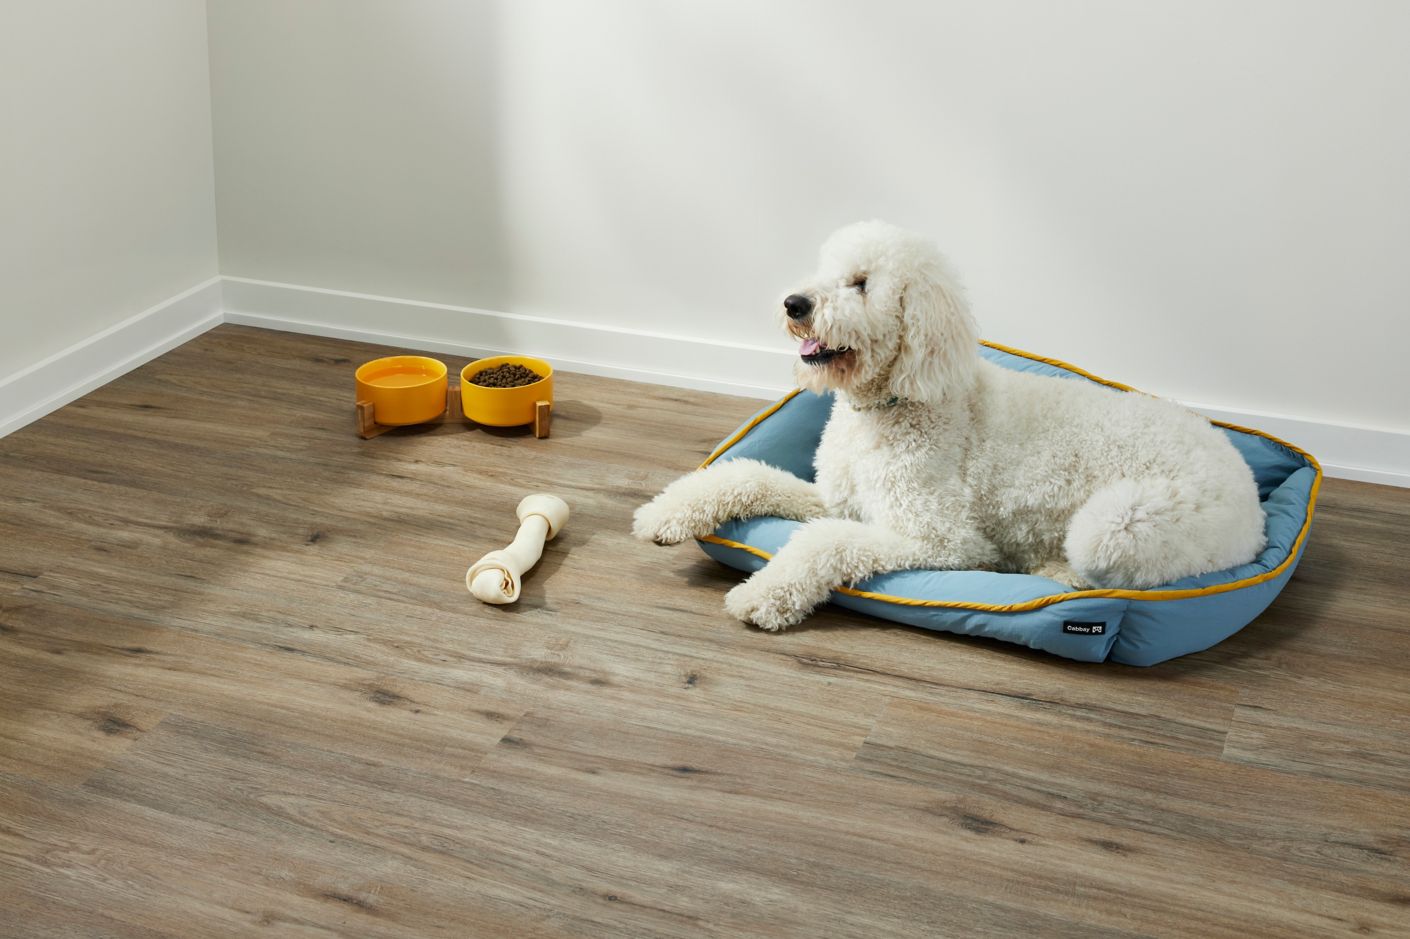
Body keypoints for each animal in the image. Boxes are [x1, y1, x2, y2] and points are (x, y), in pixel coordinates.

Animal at [634, 219, 1263, 628]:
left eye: (861, 283)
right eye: (824, 272)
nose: (795, 304)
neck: (892, 406)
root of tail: (1253, 504)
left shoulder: (943, 538)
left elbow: (827, 541)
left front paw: (763, 594)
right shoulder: (838, 498)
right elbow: (748, 475)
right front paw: (665, 514)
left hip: (1118, 523)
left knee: (1113, 573)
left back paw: (1053, 572)